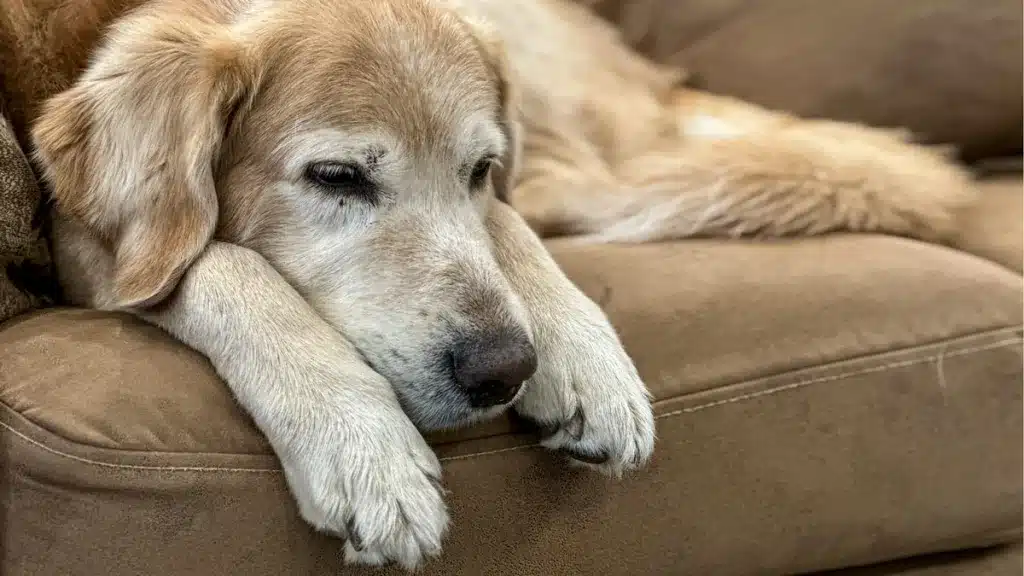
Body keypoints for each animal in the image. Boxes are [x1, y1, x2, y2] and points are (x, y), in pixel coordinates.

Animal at [0, 0, 974, 565]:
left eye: (474, 168)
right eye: (336, 177)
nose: (505, 369)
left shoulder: (497, 182)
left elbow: (503, 222)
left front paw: (585, 358)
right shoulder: (92, 243)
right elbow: (222, 258)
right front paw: (362, 445)